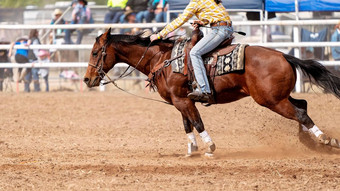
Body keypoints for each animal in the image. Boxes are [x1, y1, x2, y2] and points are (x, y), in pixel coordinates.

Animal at [83, 28, 340, 156]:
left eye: (95, 52)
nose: (87, 79)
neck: (163, 59)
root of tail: (284, 55)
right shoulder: (179, 102)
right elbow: (187, 125)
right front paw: (192, 150)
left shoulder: (183, 100)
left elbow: (197, 123)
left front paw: (209, 148)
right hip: (277, 97)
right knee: (303, 105)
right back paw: (310, 142)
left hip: (271, 100)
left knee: (300, 113)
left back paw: (325, 140)